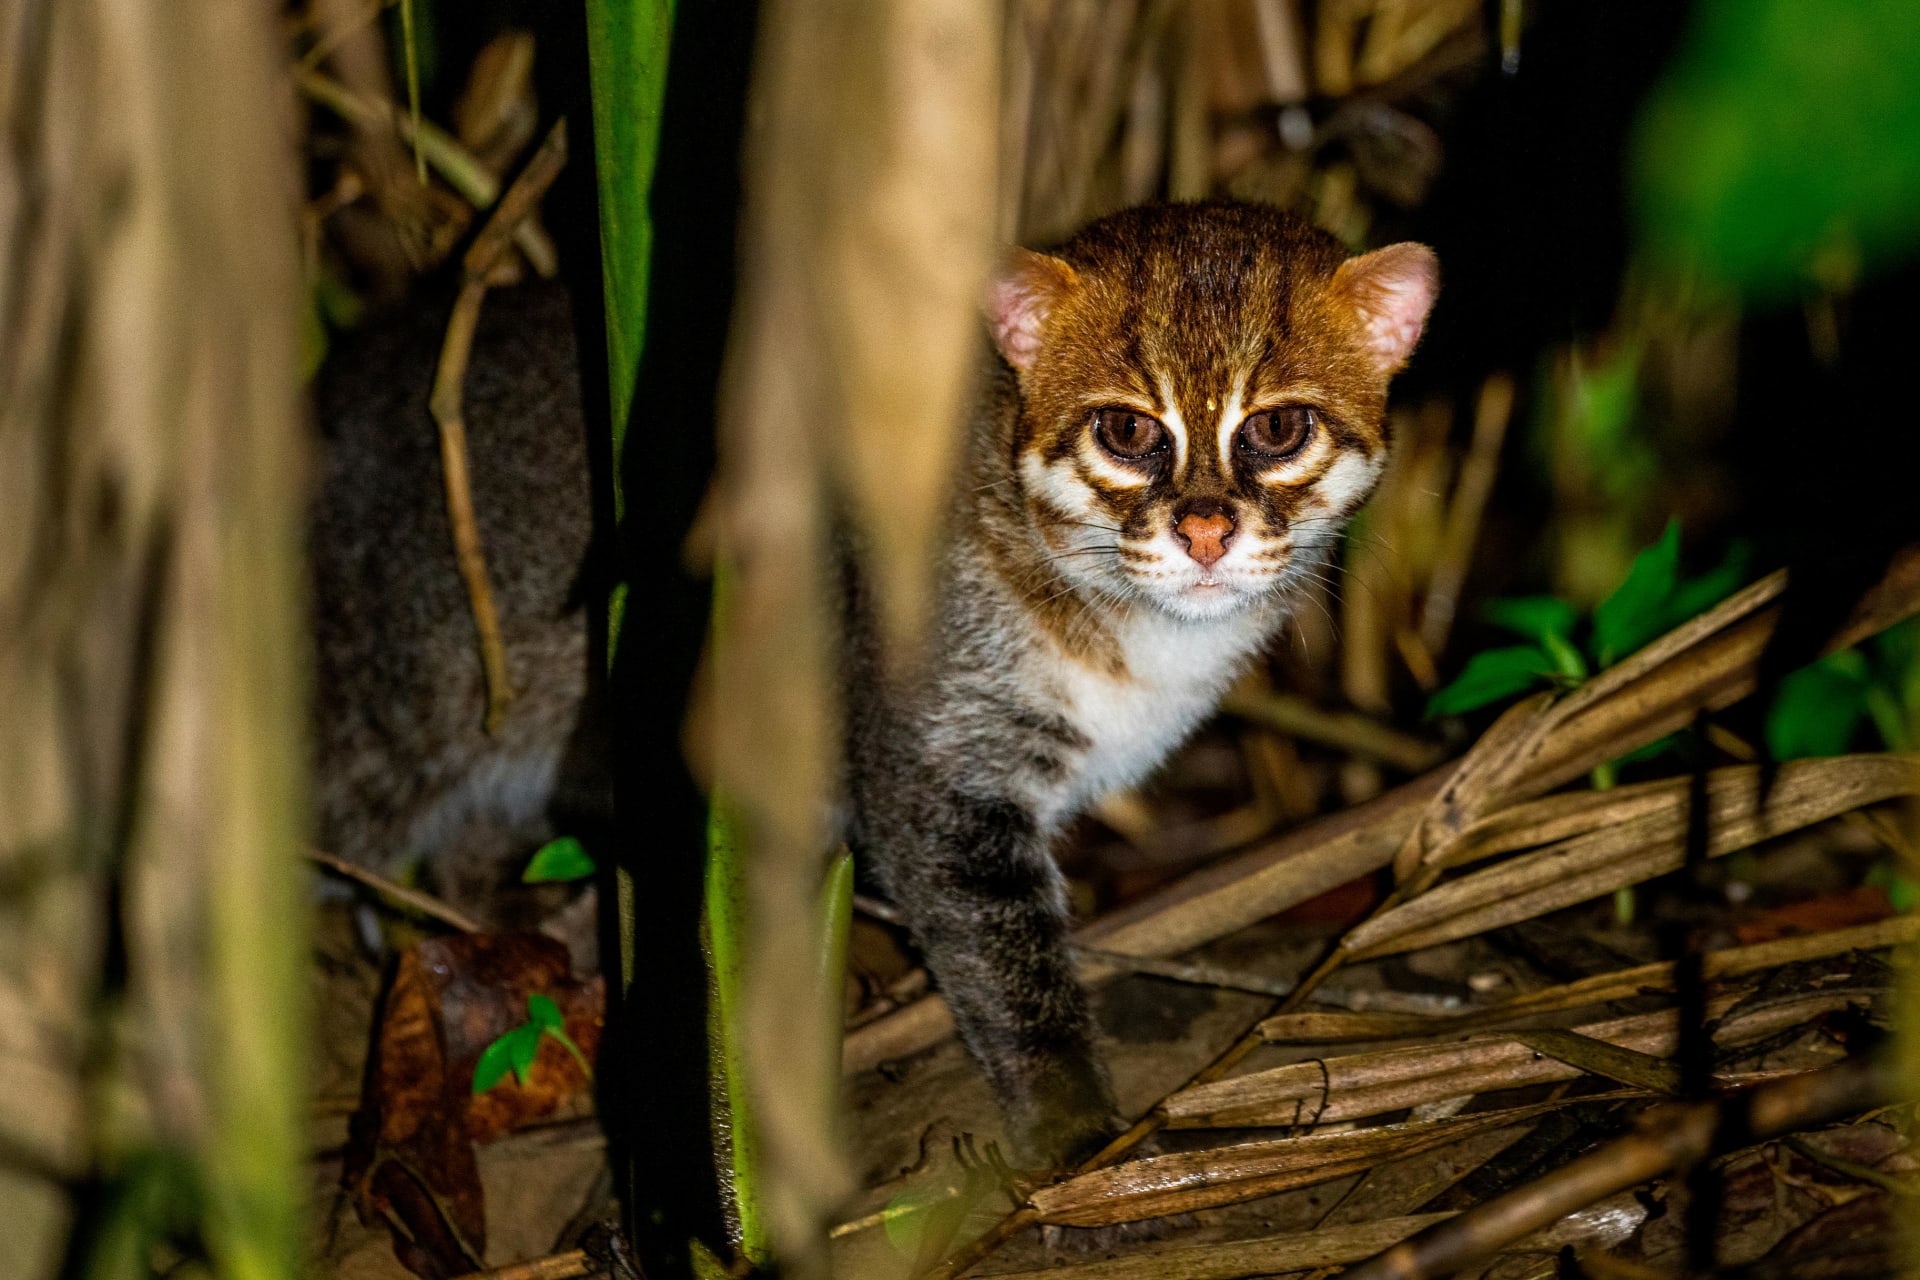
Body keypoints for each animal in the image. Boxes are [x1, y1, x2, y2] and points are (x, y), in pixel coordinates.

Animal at [307, 200, 1436, 1174]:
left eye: (1279, 429)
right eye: (1124, 431)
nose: (1205, 529)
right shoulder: (934, 769)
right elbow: (1009, 963)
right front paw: (1078, 1135)